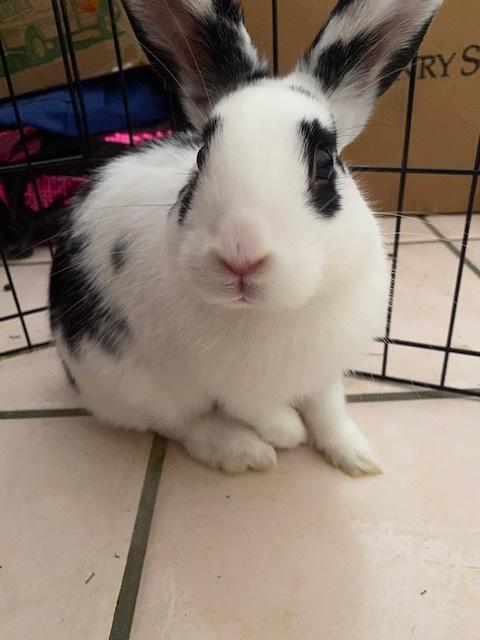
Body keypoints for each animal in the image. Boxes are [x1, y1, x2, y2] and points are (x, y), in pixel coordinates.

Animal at [49, 0, 443, 475]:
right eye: (201, 156)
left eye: (324, 162)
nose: (241, 255)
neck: (275, 312)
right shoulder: (227, 384)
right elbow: (259, 410)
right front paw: (287, 433)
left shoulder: (324, 371)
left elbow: (328, 408)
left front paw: (355, 456)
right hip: (127, 383)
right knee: (181, 424)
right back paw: (242, 452)